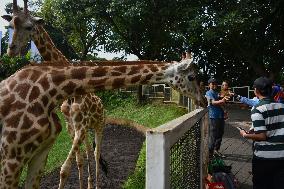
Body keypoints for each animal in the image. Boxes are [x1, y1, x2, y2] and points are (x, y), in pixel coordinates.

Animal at [0, 58, 205, 188]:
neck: (49, 91)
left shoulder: (40, 154)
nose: (203, 101)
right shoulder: (11, 158)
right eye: (192, 77)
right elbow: (67, 168)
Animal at [1, 0, 106, 188]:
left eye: (29, 27)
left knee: (96, 153)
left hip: (99, 125)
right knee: (88, 152)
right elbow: (78, 161)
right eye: (10, 25)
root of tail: (102, 104)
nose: (11, 50)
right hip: (86, 129)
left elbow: (64, 169)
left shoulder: (80, 126)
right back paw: (88, 184)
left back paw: (96, 184)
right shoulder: (72, 126)